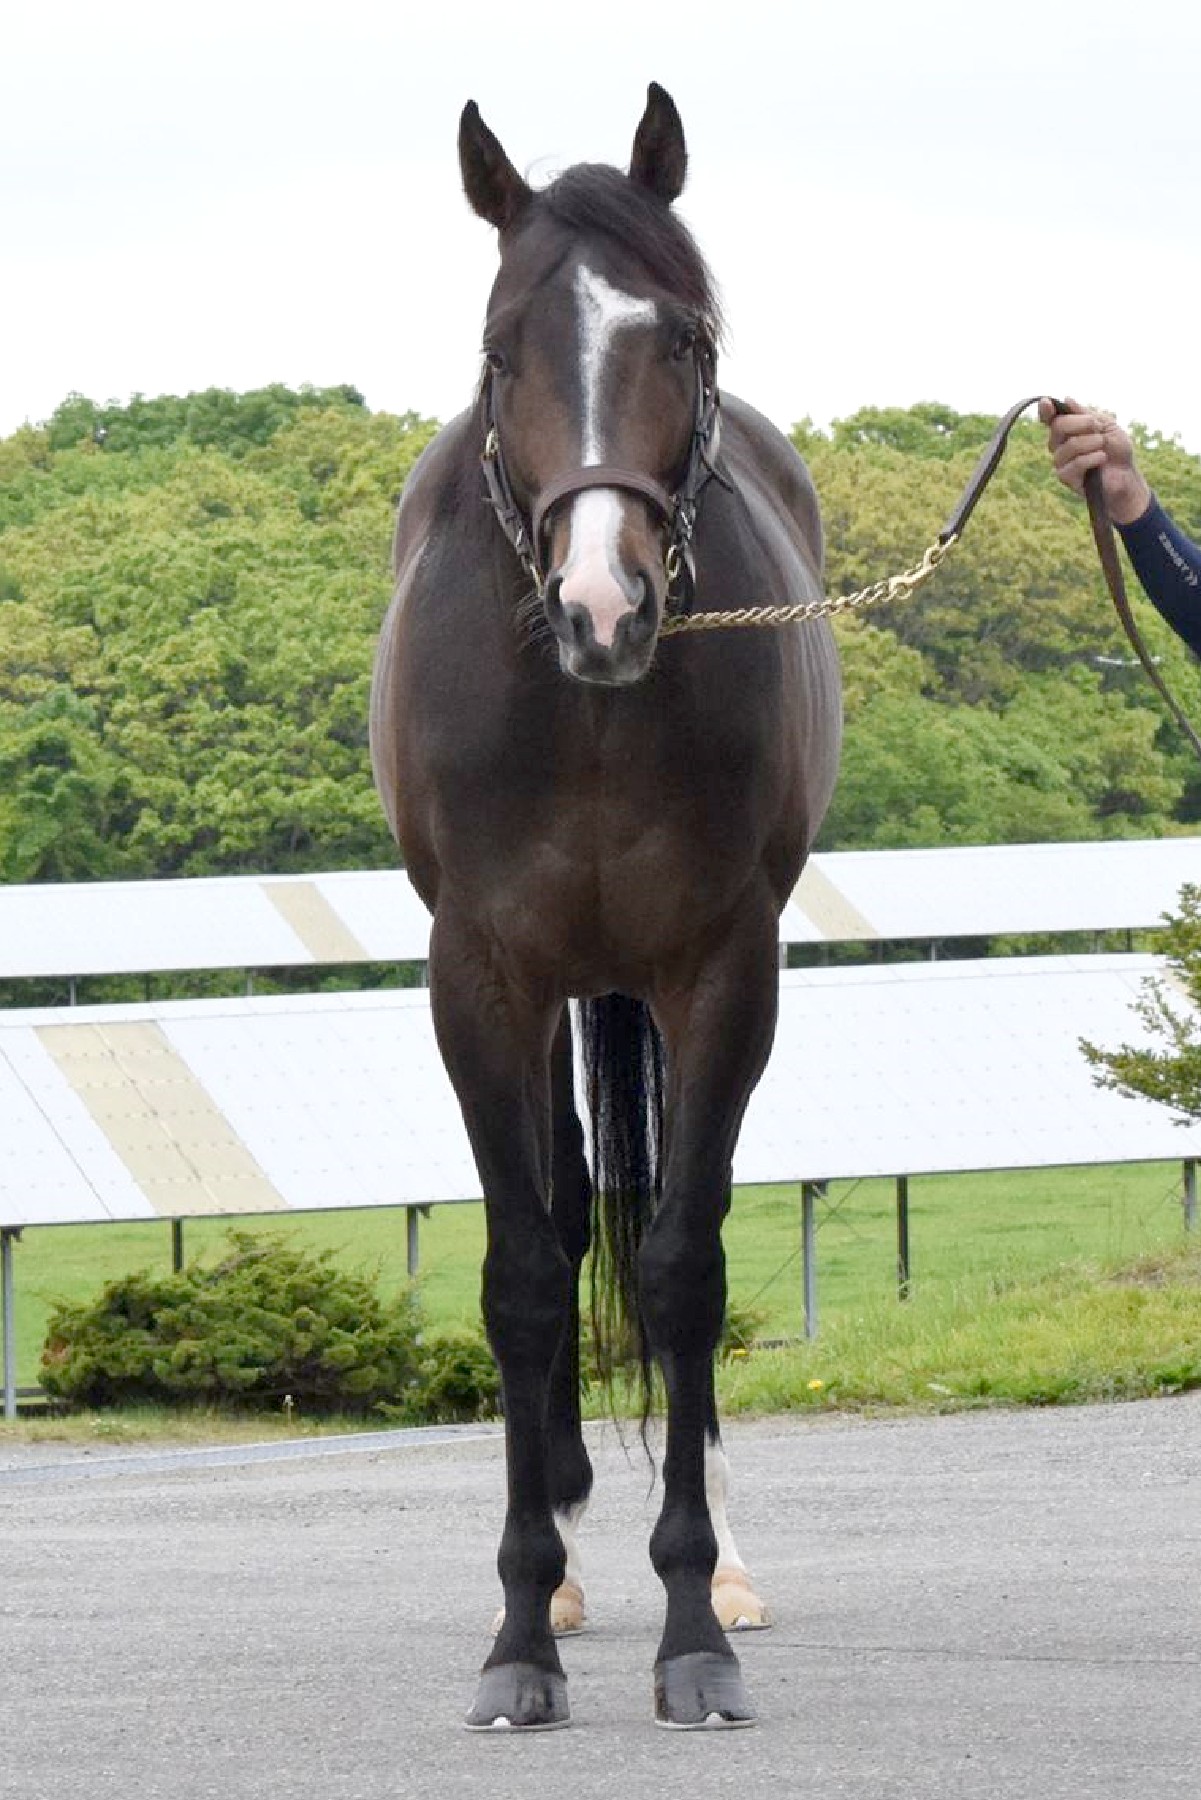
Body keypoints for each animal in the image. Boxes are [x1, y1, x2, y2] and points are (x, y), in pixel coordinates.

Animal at [370, 83, 842, 1730]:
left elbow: (683, 1266)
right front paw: (521, 1632)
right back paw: (567, 1554)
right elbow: (524, 1271)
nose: (603, 607)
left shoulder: (722, 970)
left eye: (684, 337)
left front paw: (693, 1624)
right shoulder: (479, 978)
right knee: (573, 1207)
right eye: (502, 345)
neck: (580, 712)